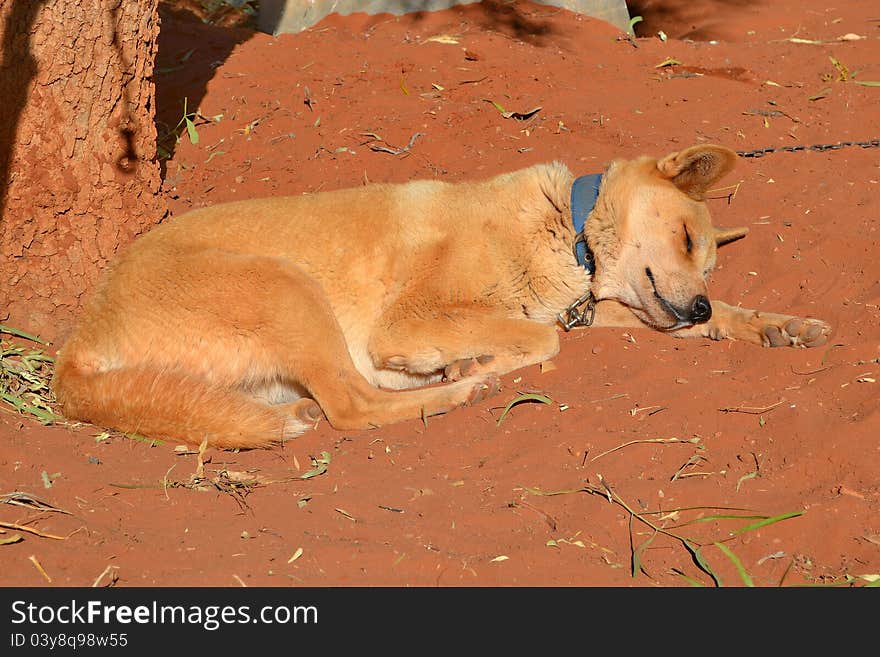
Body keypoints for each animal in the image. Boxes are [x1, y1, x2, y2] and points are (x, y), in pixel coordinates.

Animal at [53, 145, 832, 448]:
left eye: (709, 262)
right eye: (685, 236)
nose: (697, 304)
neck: (565, 229)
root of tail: (77, 345)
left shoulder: (600, 306)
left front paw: (773, 324)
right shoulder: (408, 320)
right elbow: (541, 335)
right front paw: (467, 362)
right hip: (286, 286)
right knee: (353, 408)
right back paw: (458, 386)